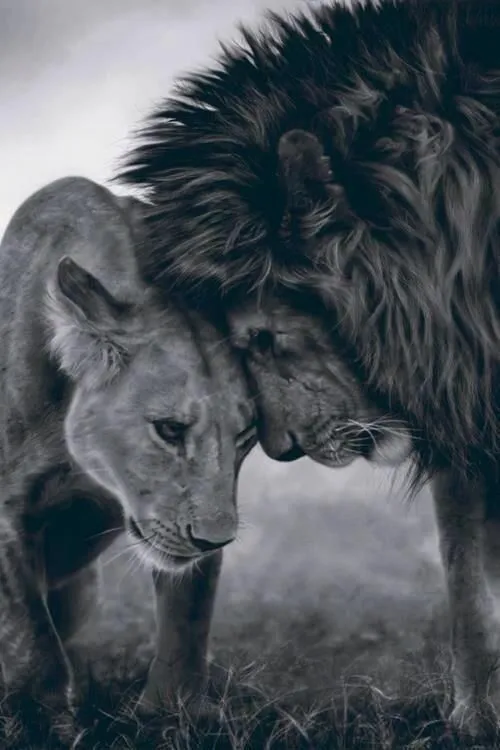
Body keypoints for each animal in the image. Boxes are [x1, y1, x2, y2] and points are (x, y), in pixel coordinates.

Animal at [0, 175, 261, 739]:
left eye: (246, 434)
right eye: (169, 429)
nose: (216, 538)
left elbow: (188, 619)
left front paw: (173, 715)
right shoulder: (5, 511)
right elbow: (31, 638)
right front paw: (42, 722)